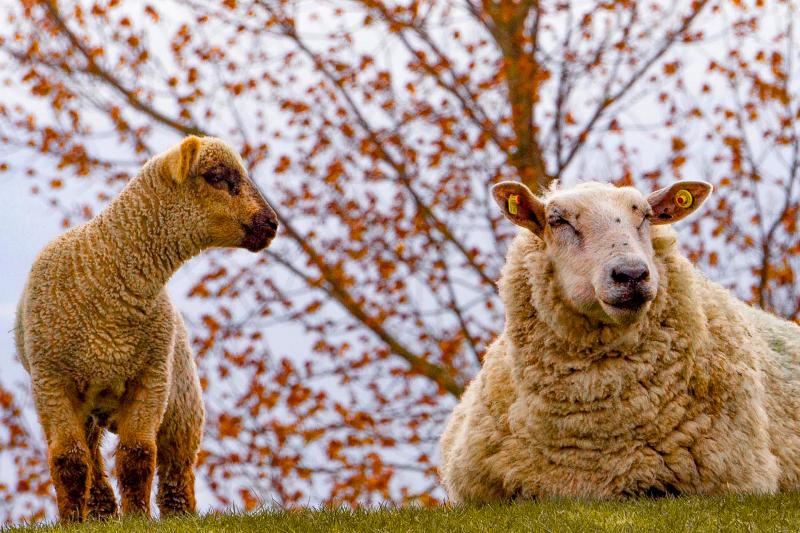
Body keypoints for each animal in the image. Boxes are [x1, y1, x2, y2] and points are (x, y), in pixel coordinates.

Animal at [14, 136, 279, 522]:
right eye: (216, 176)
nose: (271, 224)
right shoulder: (52, 382)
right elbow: (69, 461)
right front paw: (71, 521)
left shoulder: (151, 378)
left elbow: (136, 456)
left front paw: (138, 517)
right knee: (91, 457)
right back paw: (102, 513)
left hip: (182, 402)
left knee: (177, 469)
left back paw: (178, 516)